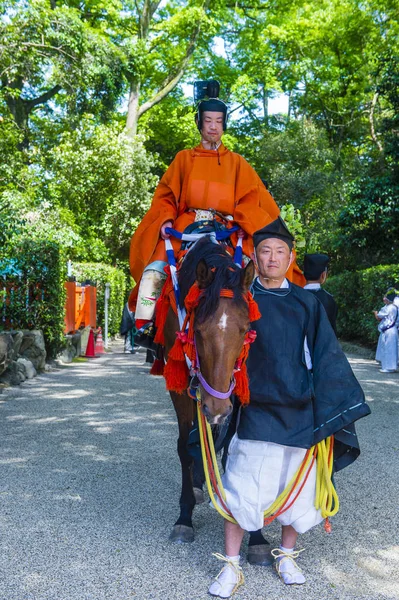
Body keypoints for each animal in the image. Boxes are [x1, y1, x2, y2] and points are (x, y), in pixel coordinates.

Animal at [158, 236, 255, 544]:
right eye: (198, 330)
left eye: (244, 329)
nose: (217, 408)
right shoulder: (181, 382)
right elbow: (184, 446)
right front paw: (184, 515)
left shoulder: (234, 386)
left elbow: (227, 438)